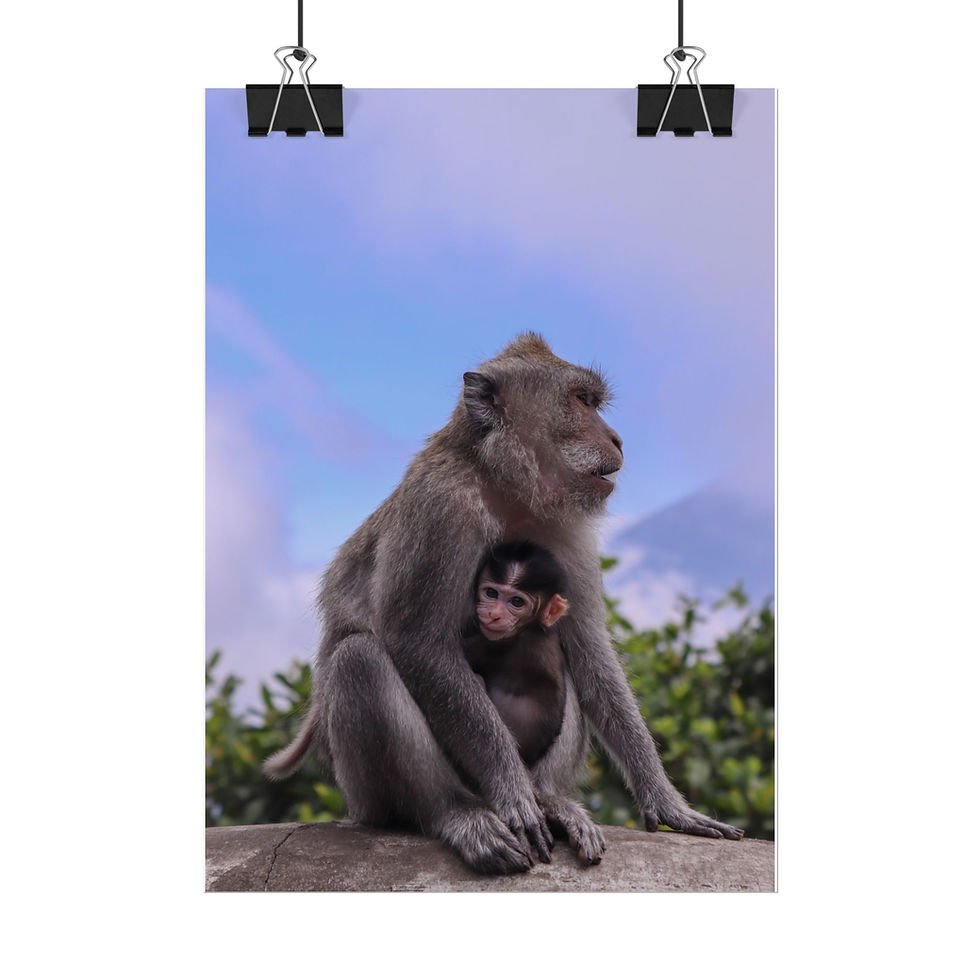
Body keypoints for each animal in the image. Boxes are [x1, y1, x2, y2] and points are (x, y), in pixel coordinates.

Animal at [263, 333, 743, 875]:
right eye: (582, 401)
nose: (618, 439)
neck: (503, 483)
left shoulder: (566, 529)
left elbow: (589, 649)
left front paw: (668, 803)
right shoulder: (440, 507)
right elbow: (418, 642)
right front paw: (513, 795)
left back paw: (550, 799)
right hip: (366, 792)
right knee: (357, 659)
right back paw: (459, 814)